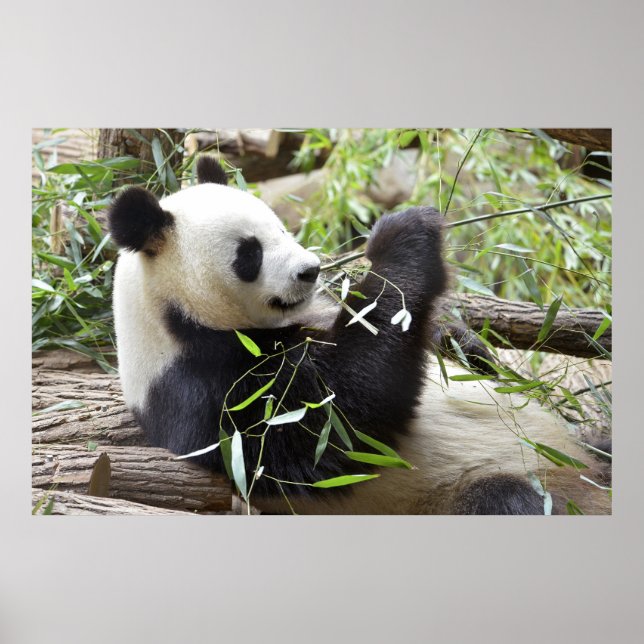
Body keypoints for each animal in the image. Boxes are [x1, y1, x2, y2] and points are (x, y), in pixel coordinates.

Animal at [108, 156, 611, 515]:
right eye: (249, 253)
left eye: (281, 227)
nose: (310, 270)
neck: (174, 319)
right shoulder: (211, 390)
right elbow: (345, 419)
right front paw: (402, 236)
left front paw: (461, 341)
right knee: (507, 501)